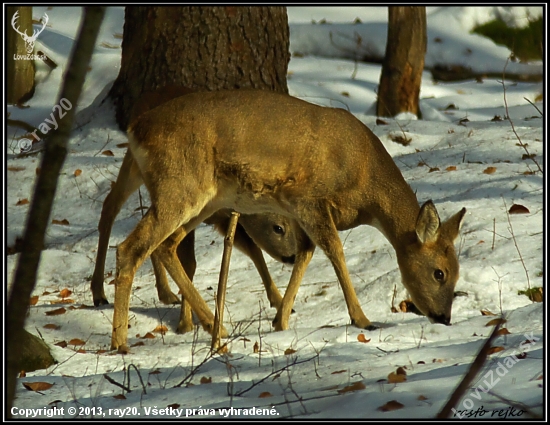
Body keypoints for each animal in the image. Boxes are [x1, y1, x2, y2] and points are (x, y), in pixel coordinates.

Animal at [91, 85, 298, 332]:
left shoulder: (223, 218)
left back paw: (164, 292)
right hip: (152, 175)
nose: (293, 257)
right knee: (112, 208)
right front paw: (186, 322)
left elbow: (253, 249)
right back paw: (99, 293)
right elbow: (189, 262)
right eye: (278, 228)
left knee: (119, 211)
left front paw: (278, 301)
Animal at [110, 89, 468, 352]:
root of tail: (136, 129)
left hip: (203, 200)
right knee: (130, 247)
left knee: (165, 246)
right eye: (439, 272)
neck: (364, 187)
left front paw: (279, 320)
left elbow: (305, 254)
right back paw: (121, 342)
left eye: (457, 272)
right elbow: (334, 250)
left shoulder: (299, 212)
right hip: (180, 186)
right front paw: (362, 319)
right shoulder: (309, 198)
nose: (444, 317)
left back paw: (215, 325)